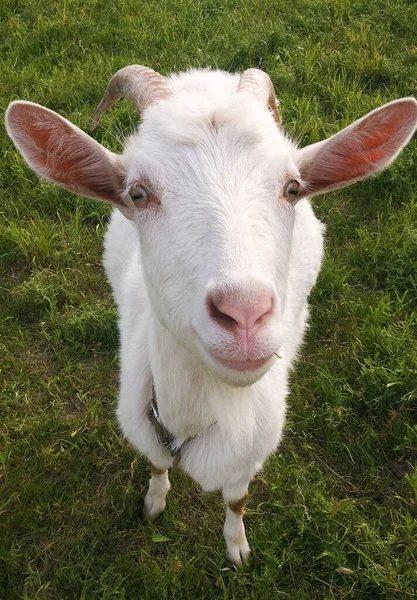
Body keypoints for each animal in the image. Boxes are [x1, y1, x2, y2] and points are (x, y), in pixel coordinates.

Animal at [6, 67, 416, 568]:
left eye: (292, 188)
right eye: (138, 193)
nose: (245, 314)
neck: (194, 418)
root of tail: (205, 76)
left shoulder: (249, 455)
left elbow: (236, 499)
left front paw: (237, 547)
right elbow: (156, 465)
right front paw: (153, 504)